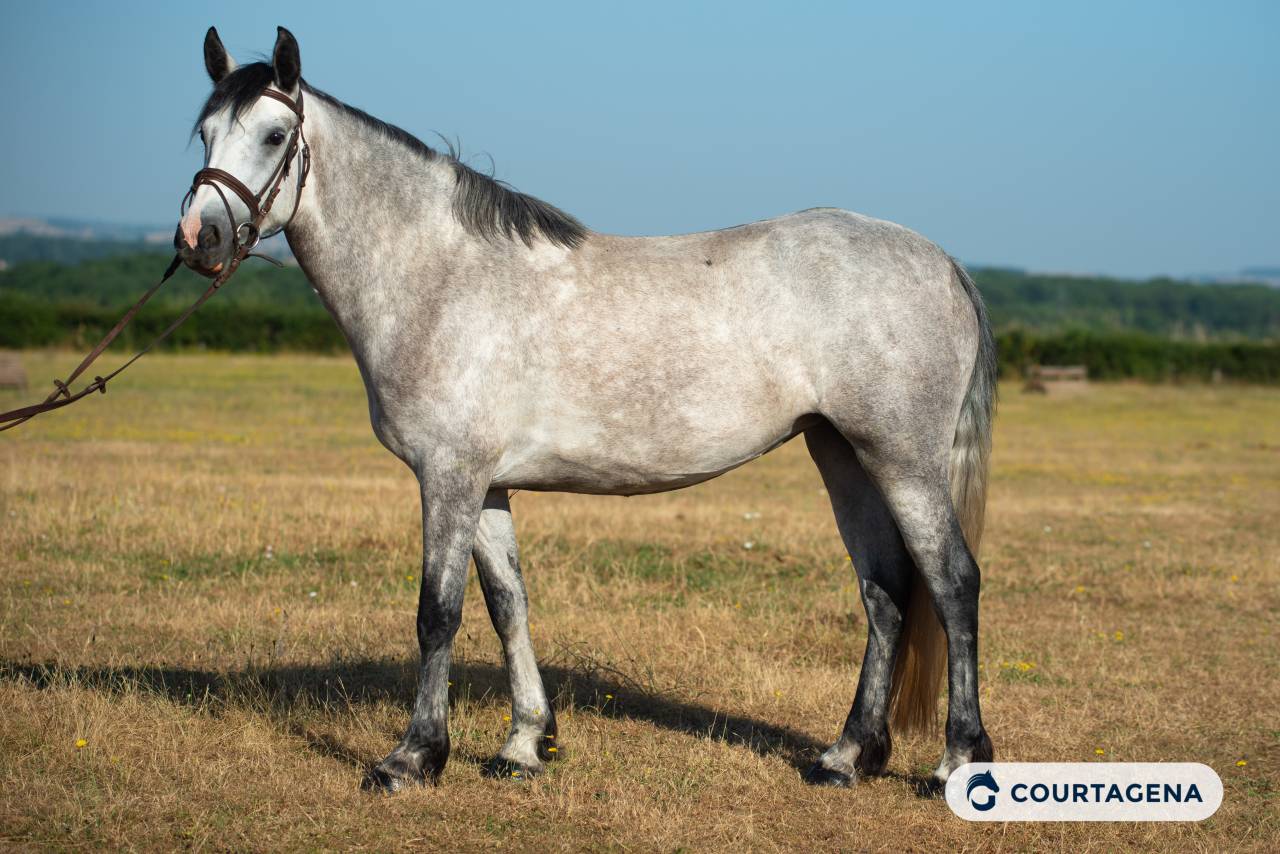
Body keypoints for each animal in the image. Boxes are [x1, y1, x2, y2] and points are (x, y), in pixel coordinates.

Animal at [177, 26, 997, 793]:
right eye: (205, 133)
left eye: (274, 136)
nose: (198, 238)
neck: (437, 279)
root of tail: (942, 261)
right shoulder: (487, 486)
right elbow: (507, 604)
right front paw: (523, 745)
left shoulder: (448, 476)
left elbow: (437, 613)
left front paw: (413, 758)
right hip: (842, 453)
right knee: (885, 591)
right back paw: (846, 756)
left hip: (903, 459)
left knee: (953, 582)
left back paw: (957, 760)